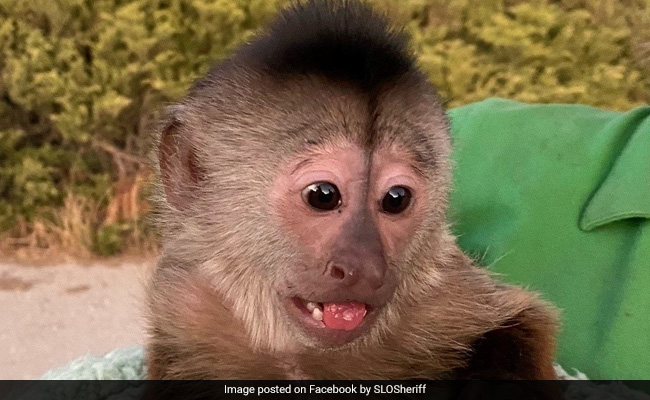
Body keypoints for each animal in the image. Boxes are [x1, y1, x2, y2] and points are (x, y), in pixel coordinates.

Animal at [146, 0, 559, 381]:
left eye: (396, 199)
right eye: (323, 195)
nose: (366, 268)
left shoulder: (448, 294)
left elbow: (524, 320)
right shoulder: (187, 308)